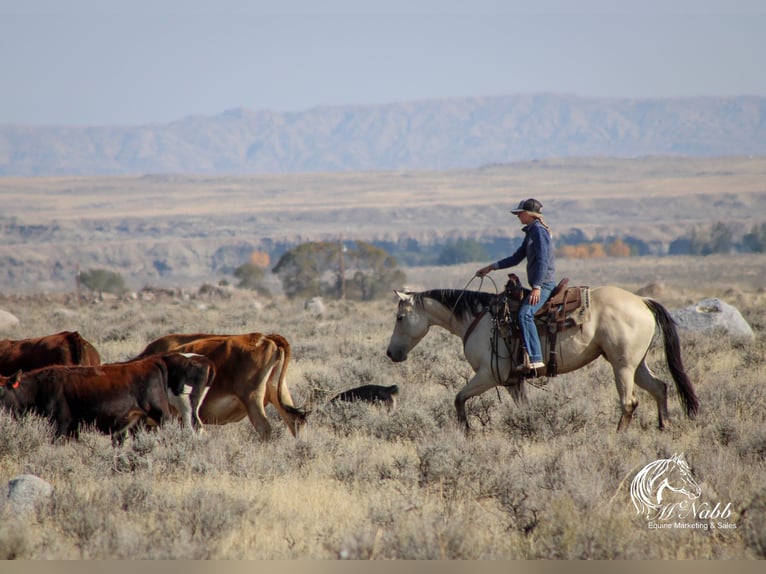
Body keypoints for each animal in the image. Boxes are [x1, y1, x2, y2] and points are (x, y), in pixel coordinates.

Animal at [388, 286, 700, 434]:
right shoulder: (513, 382)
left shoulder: (488, 375)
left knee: (629, 402)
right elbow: (525, 411)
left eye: (400, 317)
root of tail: (643, 302)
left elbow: (459, 398)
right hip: (636, 364)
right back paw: (663, 427)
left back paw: (618, 435)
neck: (478, 319)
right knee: (660, 387)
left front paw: (466, 431)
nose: (391, 353)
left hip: (622, 366)